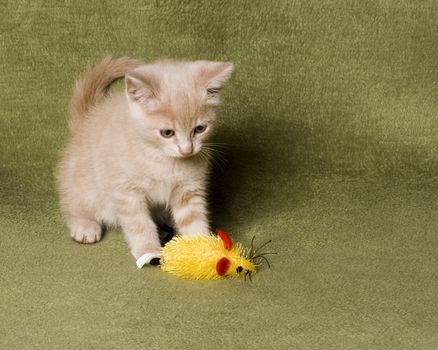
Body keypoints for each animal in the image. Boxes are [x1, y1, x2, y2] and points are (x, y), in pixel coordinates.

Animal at [57, 56, 234, 266]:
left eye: (200, 129)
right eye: (167, 133)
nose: (186, 150)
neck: (163, 159)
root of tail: (84, 123)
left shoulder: (188, 189)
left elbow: (193, 219)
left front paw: (202, 249)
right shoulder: (126, 192)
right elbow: (139, 224)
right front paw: (148, 249)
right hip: (85, 185)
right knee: (75, 204)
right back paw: (84, 224)